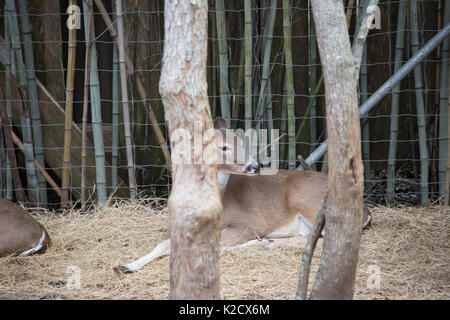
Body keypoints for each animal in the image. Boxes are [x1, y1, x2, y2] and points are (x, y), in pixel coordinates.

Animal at [114, 117, 370, 272]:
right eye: (223, 147)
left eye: (241, 141)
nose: (255, 166)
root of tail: (366, 209)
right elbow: (163, 243)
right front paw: (125, 265)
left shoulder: (251, 222)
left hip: (308, 201)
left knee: (320, 236)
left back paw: (265, 243)